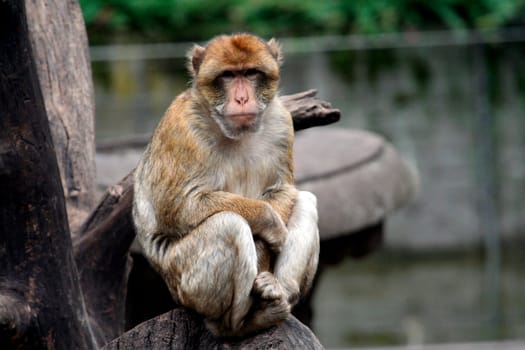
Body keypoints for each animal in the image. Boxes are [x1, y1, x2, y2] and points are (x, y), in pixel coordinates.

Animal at [132, 33, 320, 336]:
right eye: (228, 75)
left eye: (251, 73)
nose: (242, 98)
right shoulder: (181, 127)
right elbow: (180, 207)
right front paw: (269, 224)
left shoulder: (281, 120)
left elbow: (282, 189)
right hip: (186, 284)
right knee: (228, 225)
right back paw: (240, 325)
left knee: (305, 200)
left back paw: (279, 290)